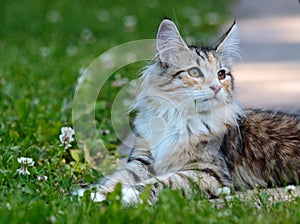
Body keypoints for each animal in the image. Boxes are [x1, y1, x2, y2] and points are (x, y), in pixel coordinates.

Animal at [82, 19, 300, 205]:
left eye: (221, 74)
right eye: (194, 72)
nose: (216, 87)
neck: (178, 116)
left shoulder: (209, 172)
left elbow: (162, 182)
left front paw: (127, 194)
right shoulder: (142, 159)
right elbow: (118, 177)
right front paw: (94, 195)